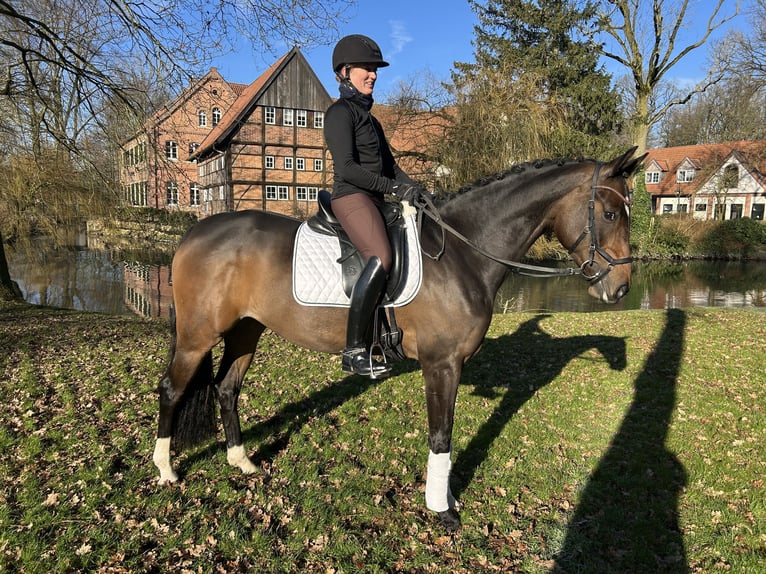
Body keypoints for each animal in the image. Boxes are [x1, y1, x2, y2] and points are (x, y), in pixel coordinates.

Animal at [153, 147, 644, 532]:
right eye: (610, 213)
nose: (620, 288)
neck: (462, 251)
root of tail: (193, 233)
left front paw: (444, 501)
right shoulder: (442, 364)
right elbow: (442, 435)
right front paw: (442, 509)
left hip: (245, 331)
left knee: (226, 388)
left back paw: (242, 461)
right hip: (198, 336)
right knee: (172, 390)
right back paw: (166, 470)